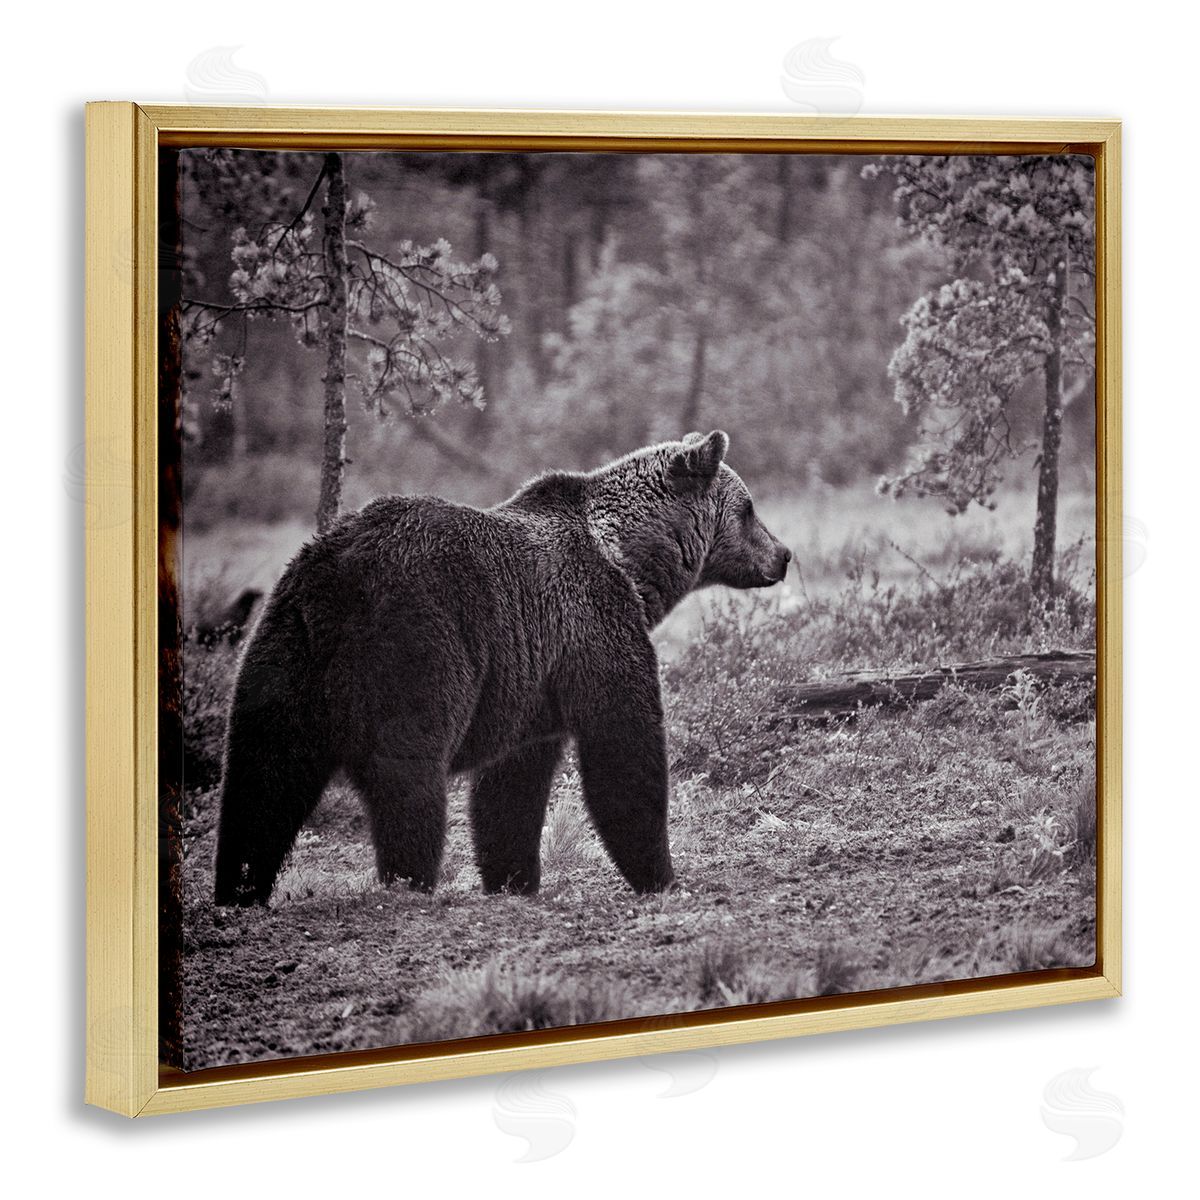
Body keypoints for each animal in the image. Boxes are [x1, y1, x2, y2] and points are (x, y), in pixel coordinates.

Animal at [212, 430, 791, 905]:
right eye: (749, 508)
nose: (783, 554)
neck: (628, 561)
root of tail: (339, 576)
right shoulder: (593, 625)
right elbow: (623, 744)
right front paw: (662, 876)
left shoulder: (533, 680)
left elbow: (512, 786)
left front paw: (514, 879)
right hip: (418, 641)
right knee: (407, 769)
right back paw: (409, 879)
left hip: (284, 646)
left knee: (262, 773)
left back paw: (239, 888)